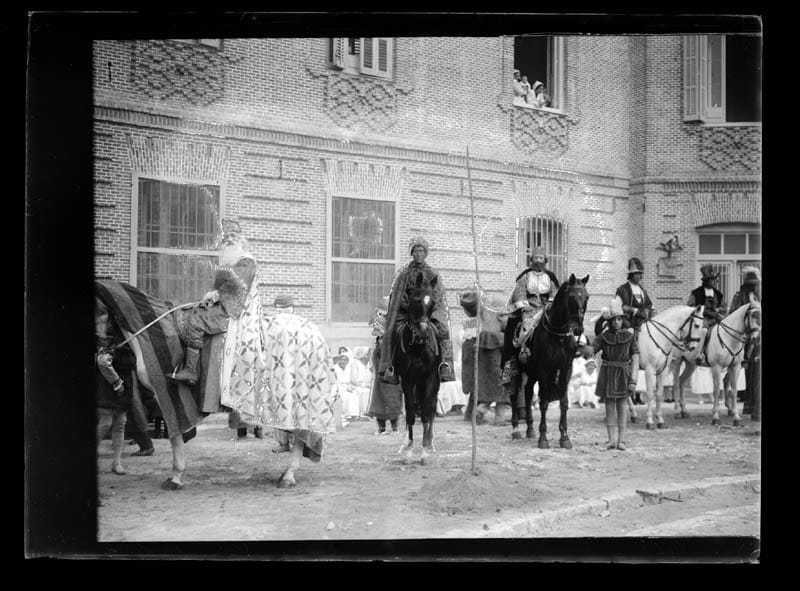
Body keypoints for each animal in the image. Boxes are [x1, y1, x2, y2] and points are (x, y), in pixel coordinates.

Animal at [390, 278, 440, 468]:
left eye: (432, 302)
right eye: (415, 301)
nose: (422, 334)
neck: (418, 348)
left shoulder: (430, 378)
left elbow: (426, 413)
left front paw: (424, 451)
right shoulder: (407, 381)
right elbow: (410, 414)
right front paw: (410, 452)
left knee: (431, 408)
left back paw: (430, 442)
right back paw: (405, 444)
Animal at [512, 272, 588, 448]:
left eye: (587, 297)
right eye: (571, 297)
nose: (578, 329)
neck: (557, 333)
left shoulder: (566, 368)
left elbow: (564, 402)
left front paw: (565, 437)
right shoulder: (544, 369)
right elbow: (544, 402)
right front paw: (543, 438)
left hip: (532, 373)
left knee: (527, 392)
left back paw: (530, 429)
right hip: (514, 368)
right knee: (515, 394)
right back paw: (516, 429)